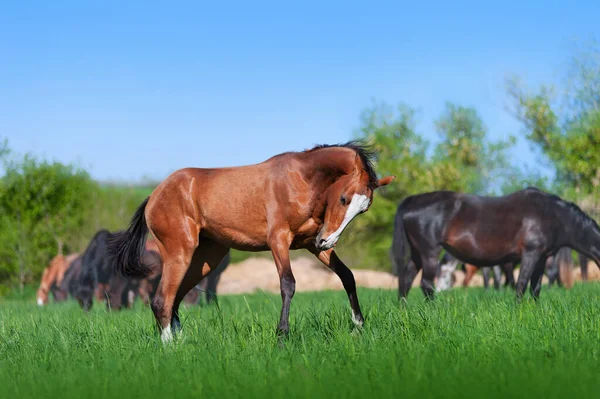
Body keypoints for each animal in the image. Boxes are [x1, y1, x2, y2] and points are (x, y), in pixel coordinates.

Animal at [109, 142, 394, 342]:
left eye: (363, 209)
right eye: (344, 198)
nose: (328, 240)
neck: (301, 180)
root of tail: (154, 195)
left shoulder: (310, 244)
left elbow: (347, 276)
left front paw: (358, 327)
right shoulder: (278, 240)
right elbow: (288, 284)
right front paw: (282, 336)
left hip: (207, 258)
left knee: (175, 298)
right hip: (179, 252)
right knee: (161, 300)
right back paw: (171, 349)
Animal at [392, 189, 600, 302]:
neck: (552, 214)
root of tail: (412, 201)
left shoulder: (542, 257)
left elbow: (535, 288)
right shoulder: (531, 253)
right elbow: (521, 284)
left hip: (417, 254)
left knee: (406, 280)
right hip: (429, 252)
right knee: (426, 284)